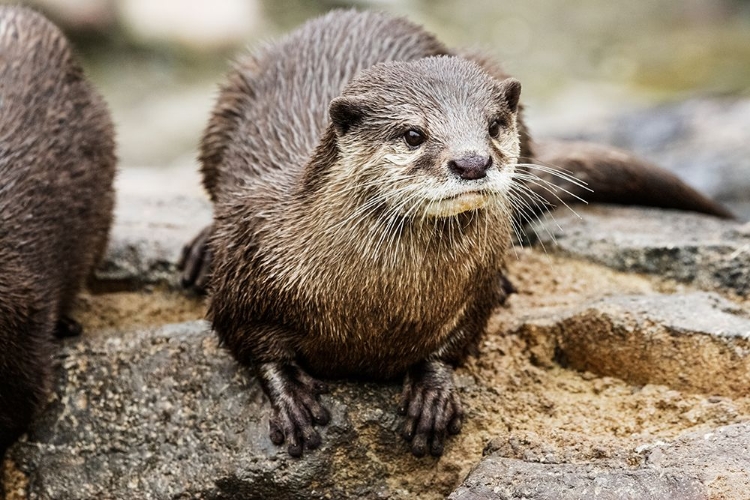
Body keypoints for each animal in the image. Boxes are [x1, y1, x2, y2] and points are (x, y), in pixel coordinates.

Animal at [182, 8, 736, 458]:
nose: (472, 161)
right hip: (229, 97)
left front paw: (432, 390)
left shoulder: (476, 286)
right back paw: (199, 250)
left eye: (492, 125)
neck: (376, 307)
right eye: (413, 134)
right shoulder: (248, 256)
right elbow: (244, 337)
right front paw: (292, 397)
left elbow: (460, 338)